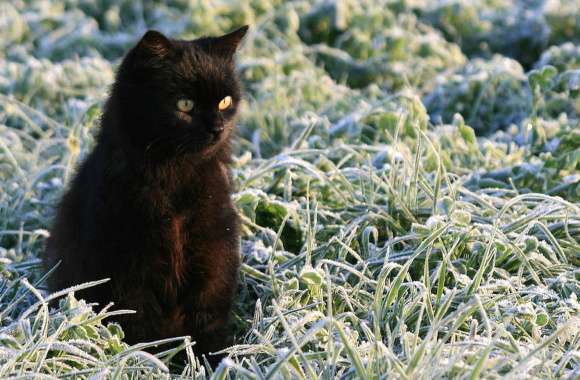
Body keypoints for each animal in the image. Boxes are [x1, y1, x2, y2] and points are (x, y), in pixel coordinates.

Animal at [42, 26, 247, 366]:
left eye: (225, 101)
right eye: (185, 104)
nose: (217, 128)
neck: (173, 174)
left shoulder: (212, 250)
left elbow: (207, 314)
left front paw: (213, 360)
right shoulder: (129, 264)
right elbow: (140, 323)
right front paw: (150, 362)